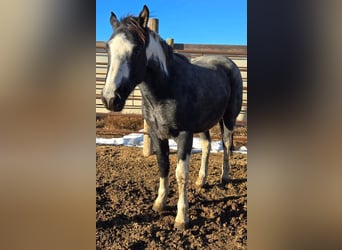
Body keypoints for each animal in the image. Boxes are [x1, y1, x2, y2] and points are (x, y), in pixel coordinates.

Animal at [101, 4, 243, 229]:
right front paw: (160, 203)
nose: (110, 98)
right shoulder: (157, 135)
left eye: (137, 49)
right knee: (207, 146)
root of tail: (229, 63)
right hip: (203, 124)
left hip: (229, 118)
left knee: (227, 145)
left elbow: (180, 173)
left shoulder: (184, 135)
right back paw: (201, 180)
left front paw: (182, 218)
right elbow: (163, 165)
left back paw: (225, 176)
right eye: (108, 48)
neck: (166, 88)